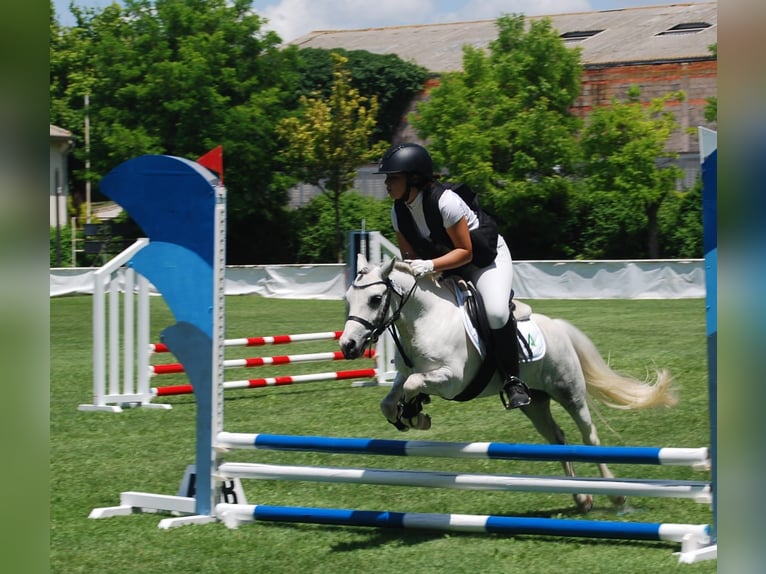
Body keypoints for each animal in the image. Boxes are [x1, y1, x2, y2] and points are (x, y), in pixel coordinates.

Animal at [339, 254, 677, 513]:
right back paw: (581, 497)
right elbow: (391, 399)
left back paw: (616, 496)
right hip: (535, 402)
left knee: (589, 438)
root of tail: (559, 327)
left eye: (376, 299)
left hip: (569, 392)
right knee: (557, 438)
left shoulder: (452, 380)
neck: (425, 319)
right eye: (348, 299)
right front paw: (410, 415)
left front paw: (415, 414)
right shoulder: (405, 374)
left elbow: (414, 386)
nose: (348, 346)